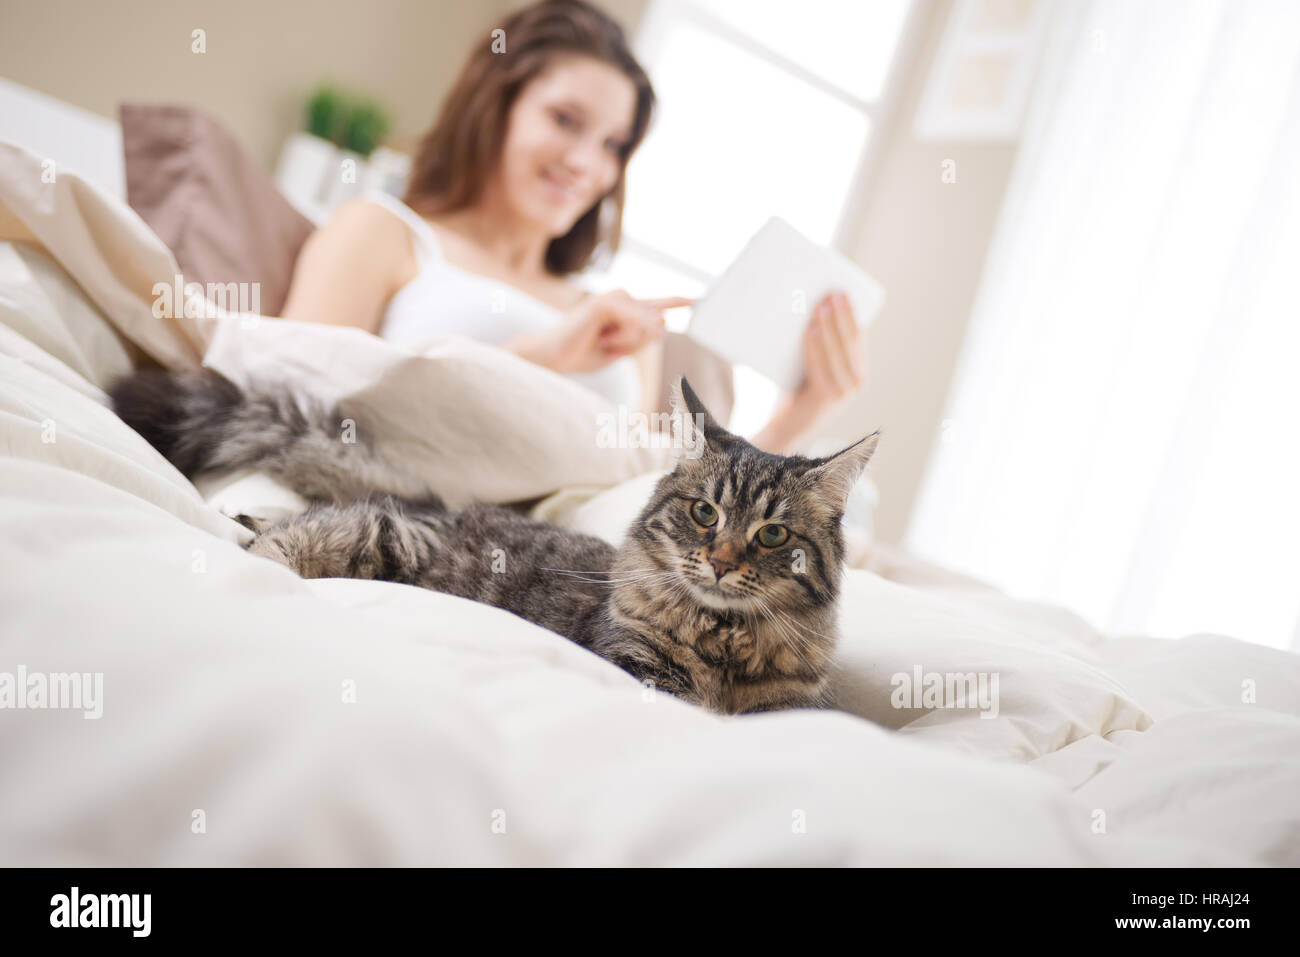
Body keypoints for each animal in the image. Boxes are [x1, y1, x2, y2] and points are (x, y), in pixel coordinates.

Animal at [111, 369, 878, 712]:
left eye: (772, 534)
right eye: (703, 514)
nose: (718, 562)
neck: (725, 638)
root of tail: (445, 509)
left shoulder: (792, 707)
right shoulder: (636, 669)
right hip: (388, 540)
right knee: (305, 532)